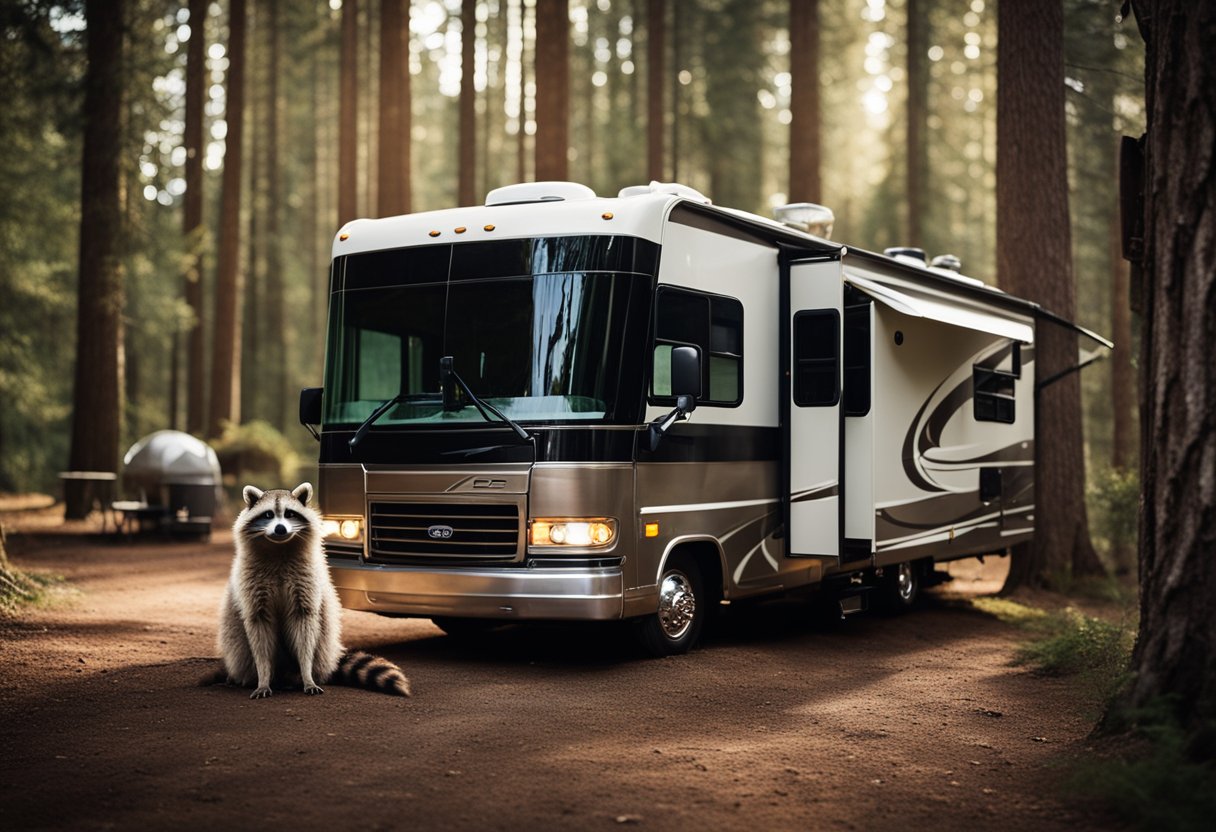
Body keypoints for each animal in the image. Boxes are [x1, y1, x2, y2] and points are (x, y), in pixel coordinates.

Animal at [210, 484, 413, 700]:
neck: (279, 548)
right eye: (268, 514)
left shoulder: (306, 584)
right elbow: (259, 634)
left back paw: (297, 677)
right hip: (237, 643)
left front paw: (307, 675)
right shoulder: (253, 586)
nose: (280, 528)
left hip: (324, 644)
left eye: (290, 514)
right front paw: (263, 677)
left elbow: (305, 630)